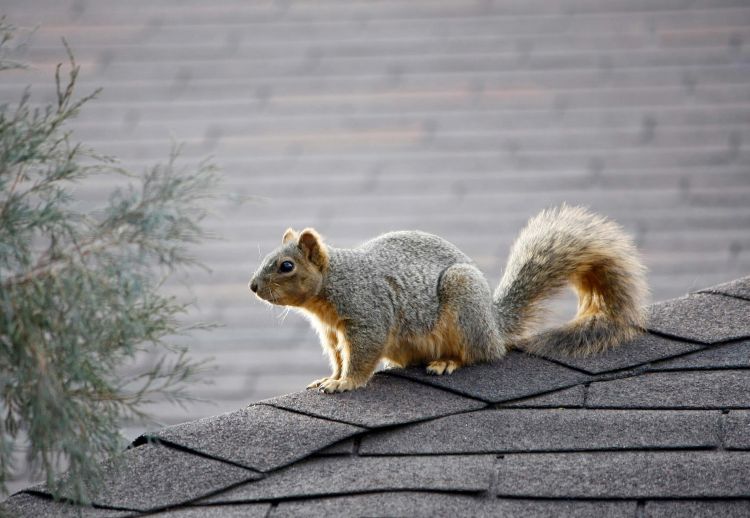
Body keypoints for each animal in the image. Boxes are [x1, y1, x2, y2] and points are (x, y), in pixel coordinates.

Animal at [249, 205, 648, 393]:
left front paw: (345, 383)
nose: (252, 287)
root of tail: (494, 325)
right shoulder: (332, 333)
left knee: (477, 354)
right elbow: (336, 356)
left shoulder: (367, 314)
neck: (333, 284)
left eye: (286, 266)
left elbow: (362, 354)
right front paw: (329, 377)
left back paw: (447, 362)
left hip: (463, 303)